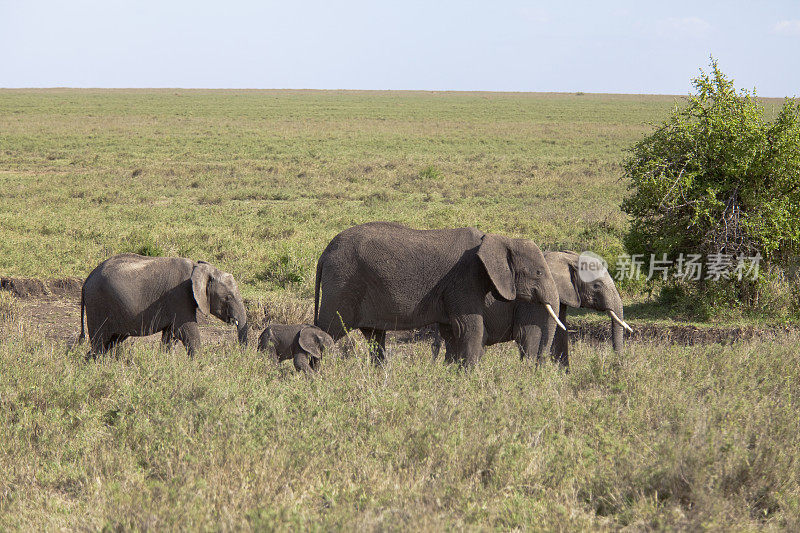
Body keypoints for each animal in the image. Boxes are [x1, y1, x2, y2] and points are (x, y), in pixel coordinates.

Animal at [80, 254, 247, 358]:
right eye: (228, 297)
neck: (198, 268)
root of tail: (87, 280)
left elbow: (170, 336)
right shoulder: (179, 297)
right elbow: (186, 332)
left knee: (110, 342)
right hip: (98, 305)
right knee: (100, 342)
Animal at [312, 220, 564, 366]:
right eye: (539, 272)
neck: (495, 239)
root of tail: (324, 254)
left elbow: (452, 331)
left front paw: (451, 373)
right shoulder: (465, 279)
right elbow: (469, 327)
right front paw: (471, 377)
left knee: (374, 337)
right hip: (343, 284)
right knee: (328, 329)